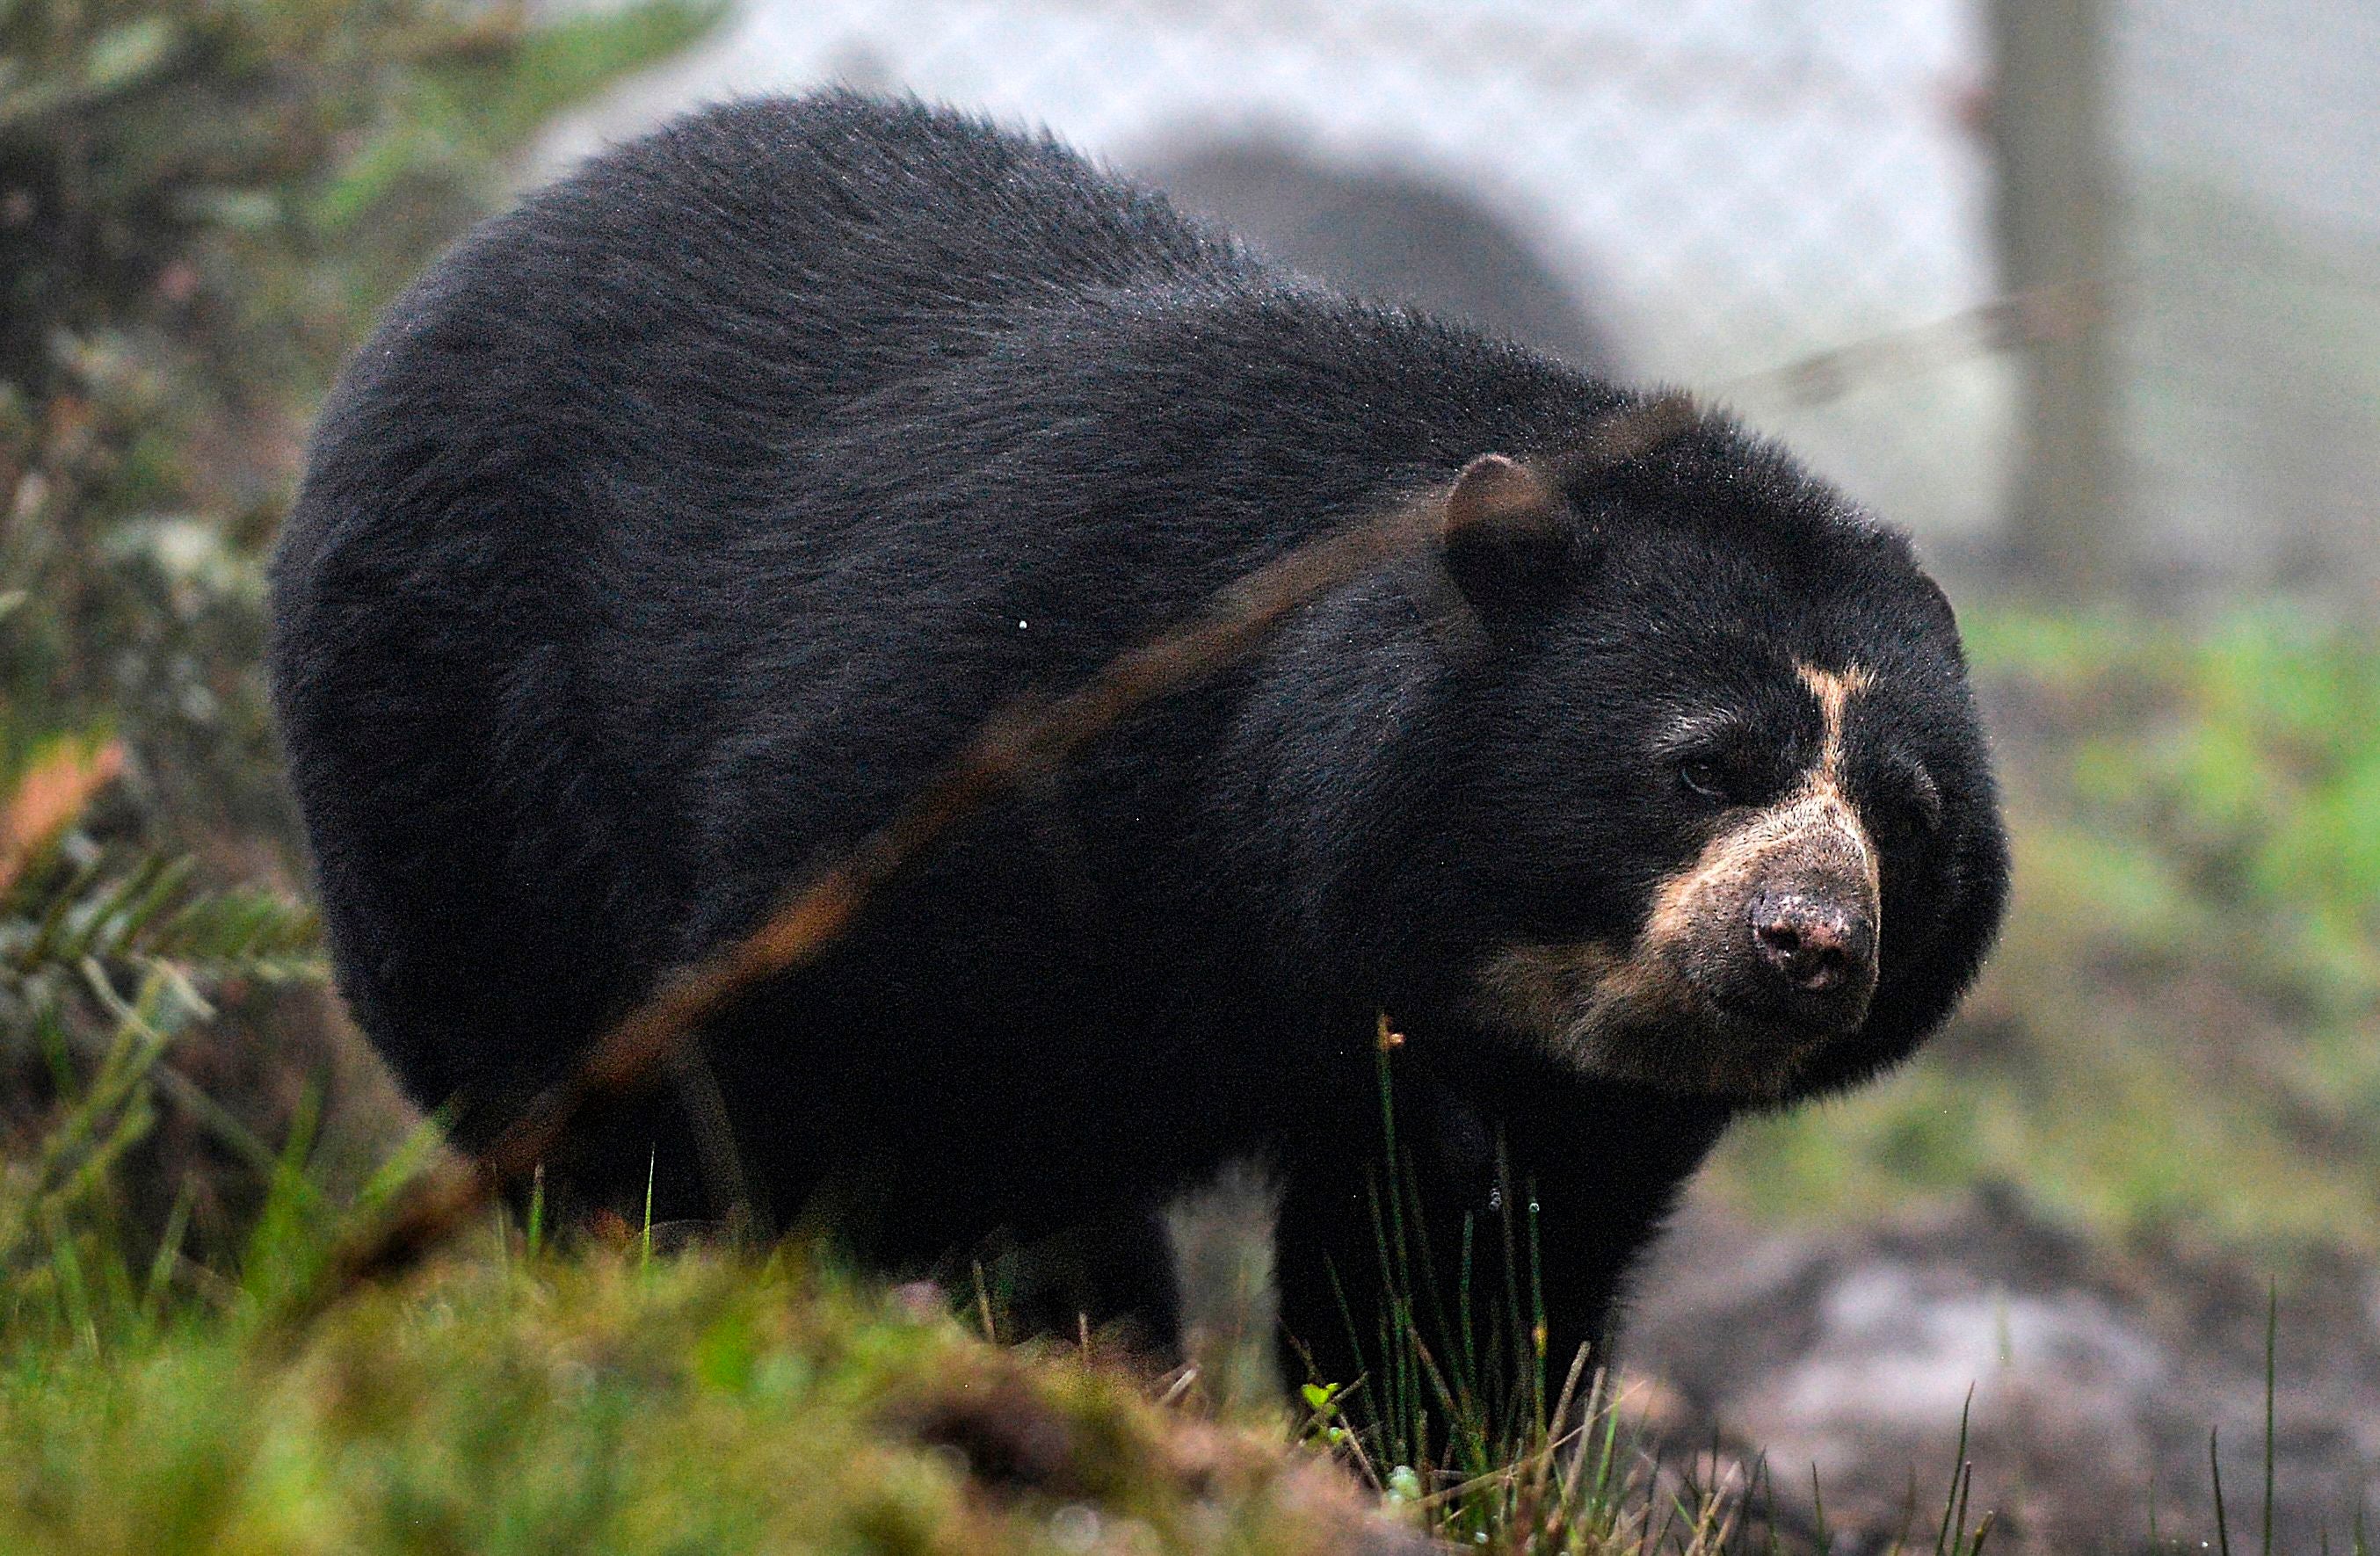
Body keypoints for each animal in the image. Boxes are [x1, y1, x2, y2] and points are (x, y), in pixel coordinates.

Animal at [265, 91, 2008, 1399]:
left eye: (1904, 822)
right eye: (1701, 762)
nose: (1808, 941)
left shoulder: (1531, 1067)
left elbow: (1460, 1270)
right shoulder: (992, 736)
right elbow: (798, 1032)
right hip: (452, 721)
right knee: (533, 1032)